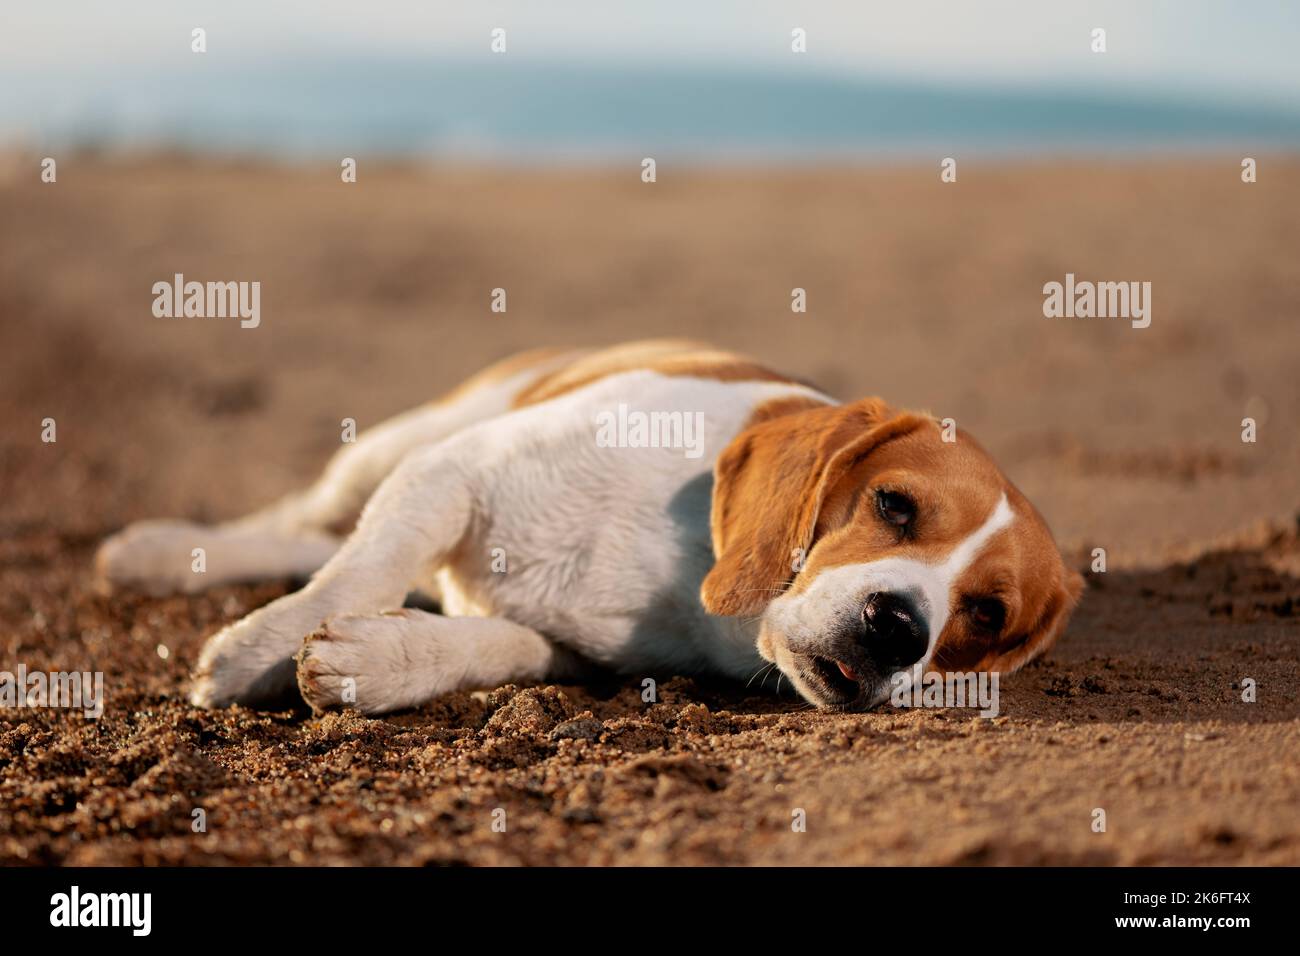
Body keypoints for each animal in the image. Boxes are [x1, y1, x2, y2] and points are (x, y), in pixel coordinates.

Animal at [96, 340, 1081, 712]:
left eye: (985, 615)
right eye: (892, 505)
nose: (899, 626)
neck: (690, 564)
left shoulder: (574, 652)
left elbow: (489, 647)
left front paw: (383, 660)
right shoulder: (451, 473)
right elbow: (362, 568)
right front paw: (256, 654)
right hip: (398, 443)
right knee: (306, 522)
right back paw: (163, 553)